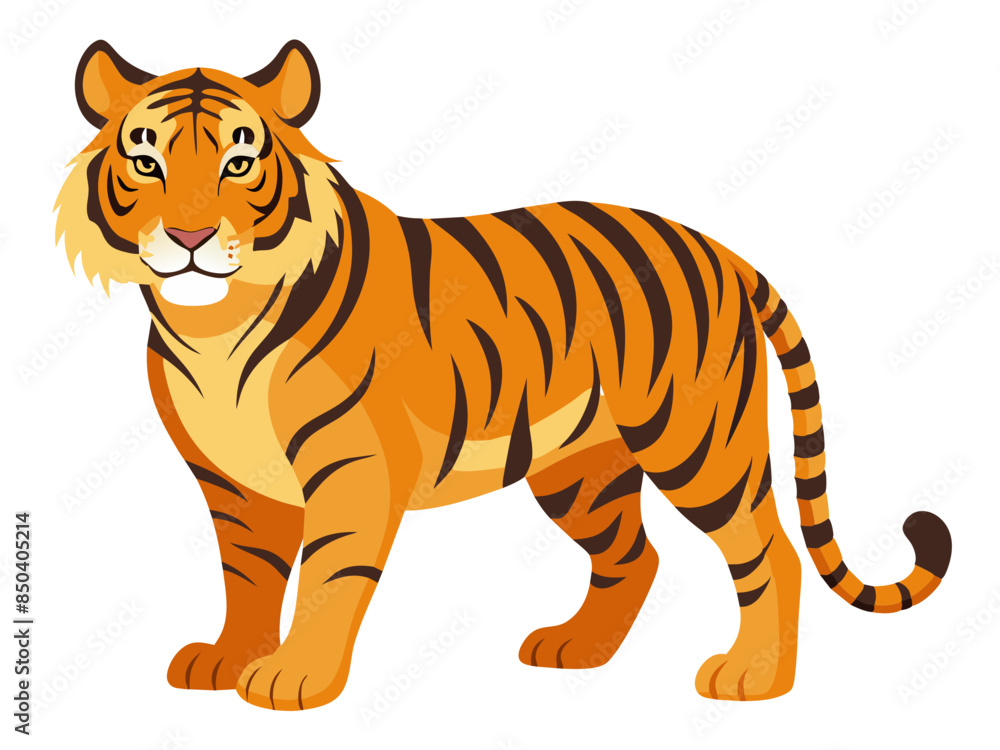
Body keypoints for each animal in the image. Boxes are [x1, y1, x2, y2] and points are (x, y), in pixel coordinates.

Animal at [56, 40, 952, 710]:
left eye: (240, 161)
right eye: (145, 160)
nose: (190, 236)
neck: (212, 324)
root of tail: (722, 250)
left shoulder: (353, 468)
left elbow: (329, 575)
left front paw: (292, 678)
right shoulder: (233, 483)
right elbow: (246, 576)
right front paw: (226, 658)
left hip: (697, 443)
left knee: (769, 550)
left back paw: (753, 680)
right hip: (581, 470)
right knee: (636, 556)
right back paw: (576, 649)